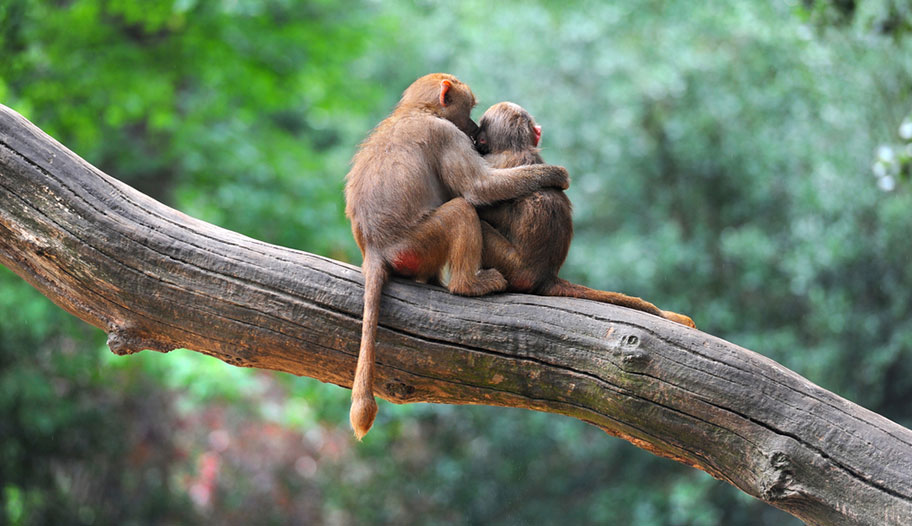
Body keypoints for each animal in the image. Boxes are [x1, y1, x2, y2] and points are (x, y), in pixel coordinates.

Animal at [344, 74, 568, 440]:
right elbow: (478, 190)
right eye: (471, 109)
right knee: (461, 210)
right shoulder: (445, 134)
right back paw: (468, 285)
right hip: (416, 244)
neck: (415, 110)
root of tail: (374, 249)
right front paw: (555, 175)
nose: (475, 131)